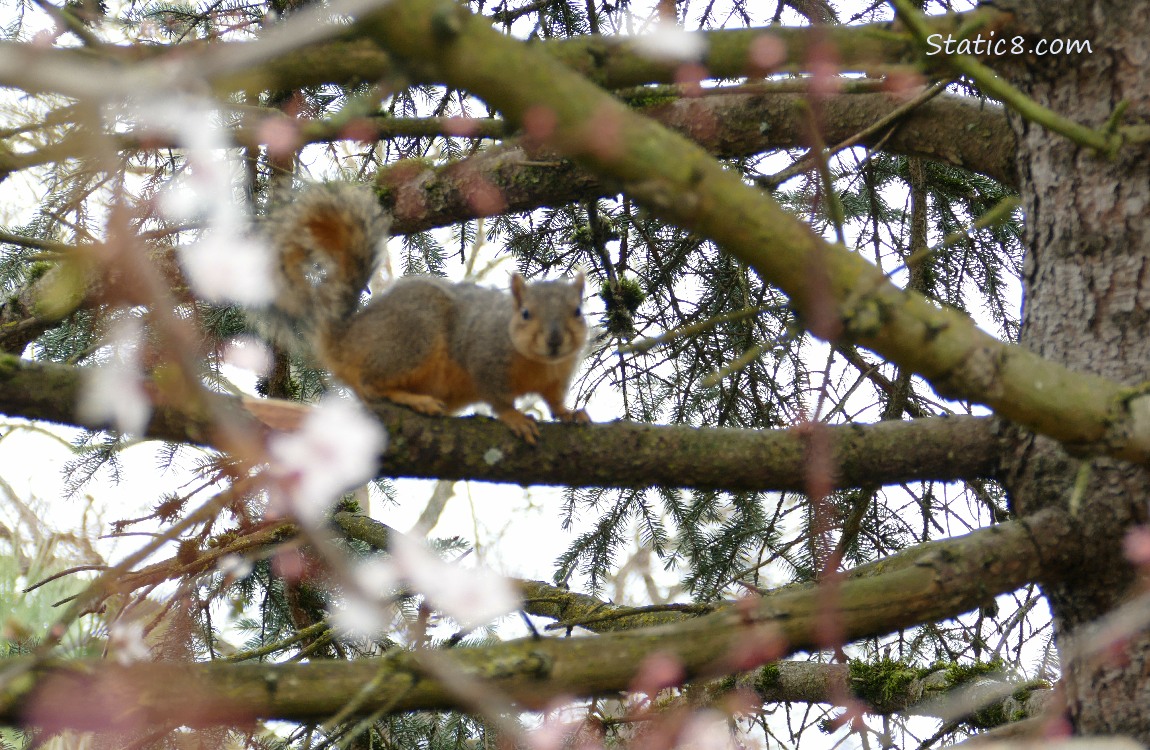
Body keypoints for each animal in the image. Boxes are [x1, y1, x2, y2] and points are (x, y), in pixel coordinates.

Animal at [261, 183, 590, 443]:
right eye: (525, 313)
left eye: (577, 311)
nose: (555, 340)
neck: (540, 363)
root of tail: (344, 339)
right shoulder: (484, 356)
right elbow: (497, 397)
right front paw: (515, 417)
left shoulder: (558, 377)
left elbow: (554, 400)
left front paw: (569, 413)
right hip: (412, 339)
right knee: (371, 384)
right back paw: (417, 400)